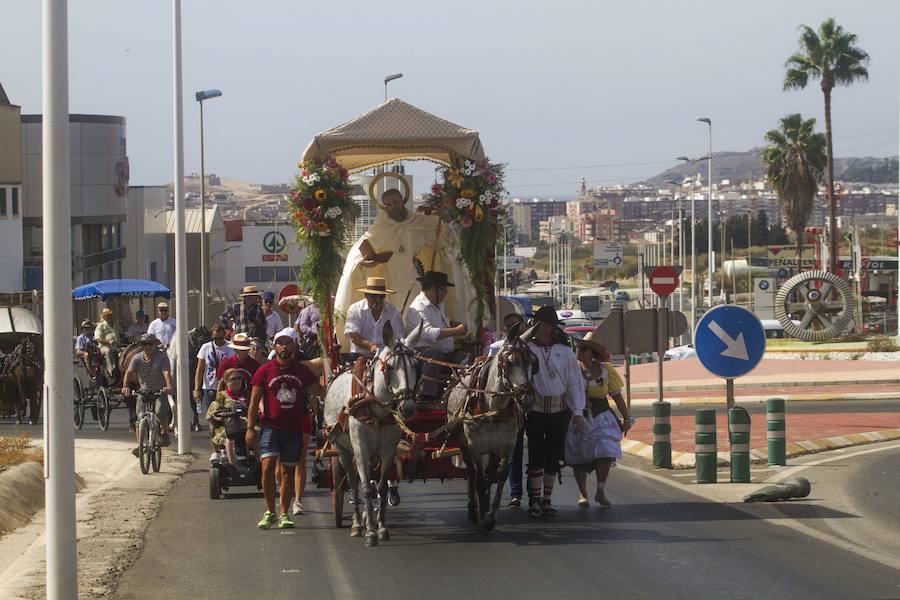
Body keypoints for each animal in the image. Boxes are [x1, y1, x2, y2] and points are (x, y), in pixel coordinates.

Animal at [324, 324, 422, 548]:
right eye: (391, 367)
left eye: (415, 365)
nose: (407, 408)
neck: (376, 405)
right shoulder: (360, 448)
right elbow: (365, 489)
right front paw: (370, 532)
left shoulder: (389, 449)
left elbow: (382, 487)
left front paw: (382, 528)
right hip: (342, 448)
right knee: (353, 481)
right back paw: (357, 523)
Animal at [444, 326, 536, 532]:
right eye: (509, 362)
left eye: (533, 363)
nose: (525, 398)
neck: (493, 408)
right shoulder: (475, 446)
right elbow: (479, 480)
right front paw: (481, 519)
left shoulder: (506, 446)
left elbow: (499, 477)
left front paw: (490, 517)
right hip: (464, 444)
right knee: (472, 473)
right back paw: (473, 510)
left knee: (488, 475)